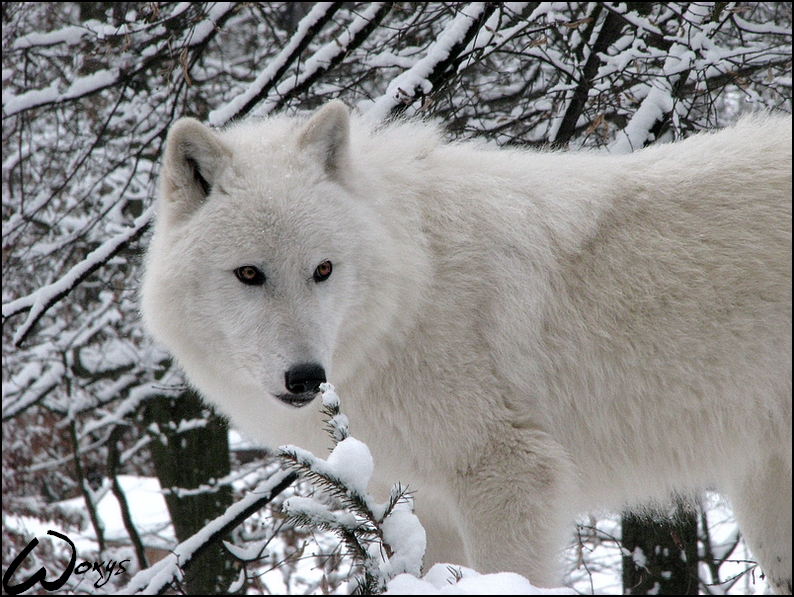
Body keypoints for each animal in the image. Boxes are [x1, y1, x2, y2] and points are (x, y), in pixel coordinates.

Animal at [141, 101, 792, 592]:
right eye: (249, 274)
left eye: (322, 270)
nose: (307, 377)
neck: (414, 290)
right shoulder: (424, 507)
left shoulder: (507, 476)